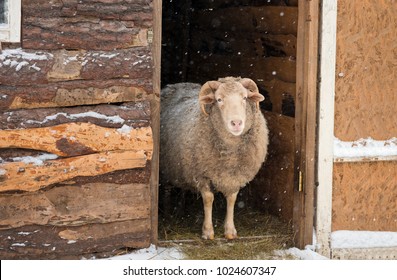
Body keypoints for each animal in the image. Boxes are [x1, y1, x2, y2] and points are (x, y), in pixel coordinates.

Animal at [159, 77, 268, 241]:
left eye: (244, 97)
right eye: (219, 99)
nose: (236, 123)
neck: (230, 153)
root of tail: (177, 84)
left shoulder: (235, 177)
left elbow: (232, 199)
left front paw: (230, 231)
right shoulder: (202, 175)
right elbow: (209, 199)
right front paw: (208, 231)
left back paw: (180, 209)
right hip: (167, 168)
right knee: (166, 190)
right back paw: (167, 215)